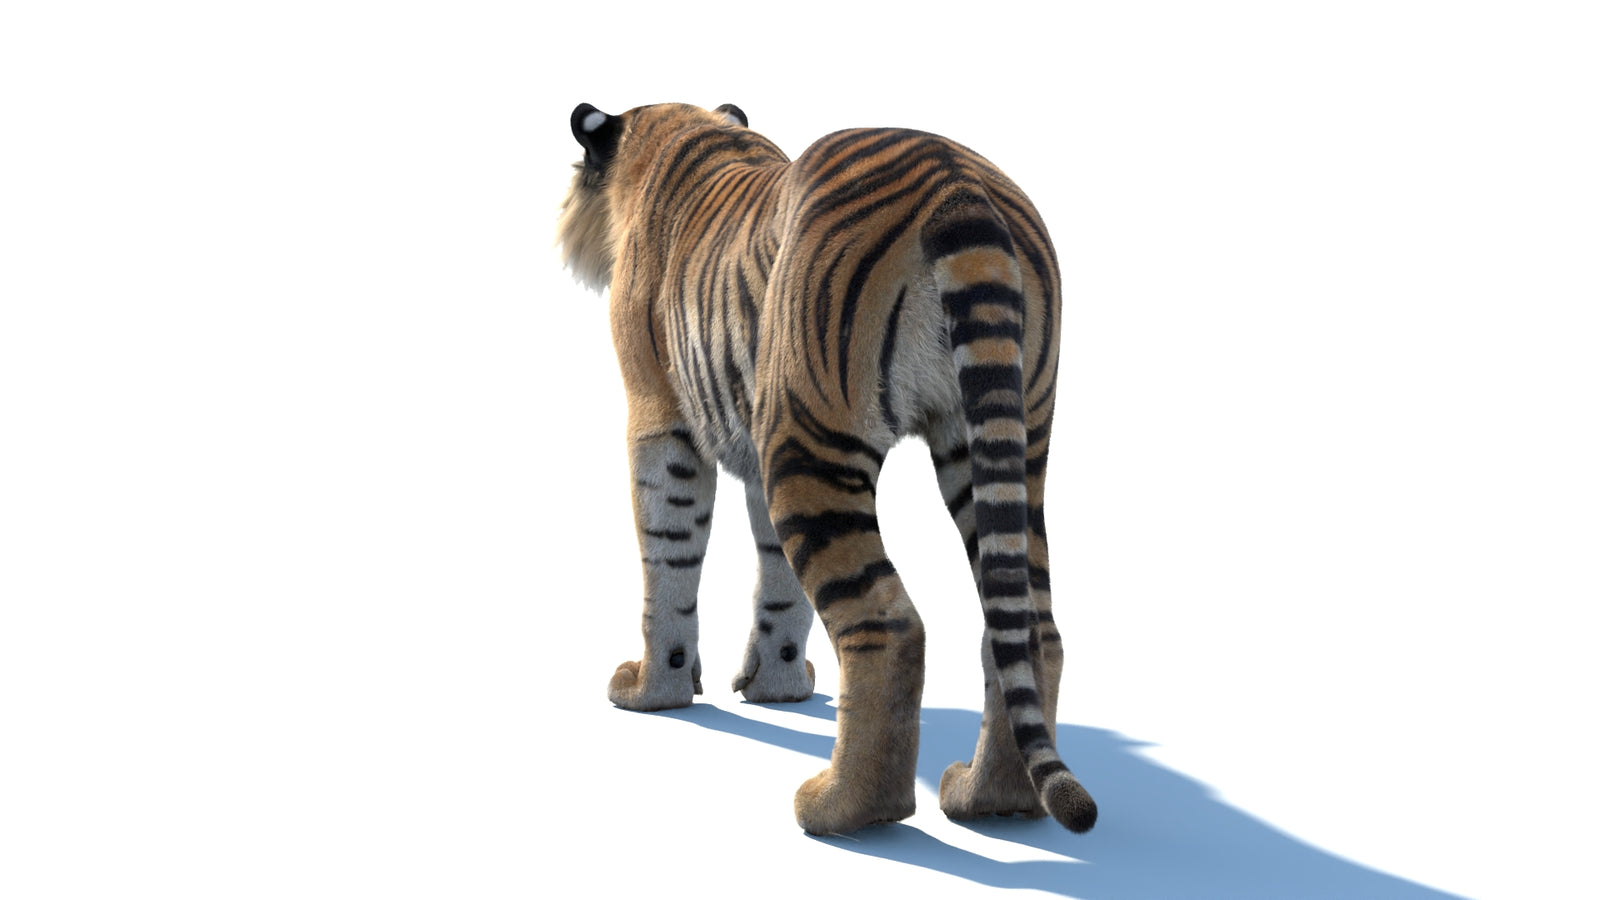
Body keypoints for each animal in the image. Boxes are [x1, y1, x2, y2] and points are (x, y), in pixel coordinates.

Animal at [557, 101, 1097, 837]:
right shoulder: (758, 440)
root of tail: (956, 182)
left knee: (890, 625)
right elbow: (779, 581)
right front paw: (776, 687)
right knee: (1029, 626)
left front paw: (653, 690)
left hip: (812, 437)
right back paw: (989, 799)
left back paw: (843, 809)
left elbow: (668, 562)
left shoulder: (661, 418)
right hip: (1001, 440)